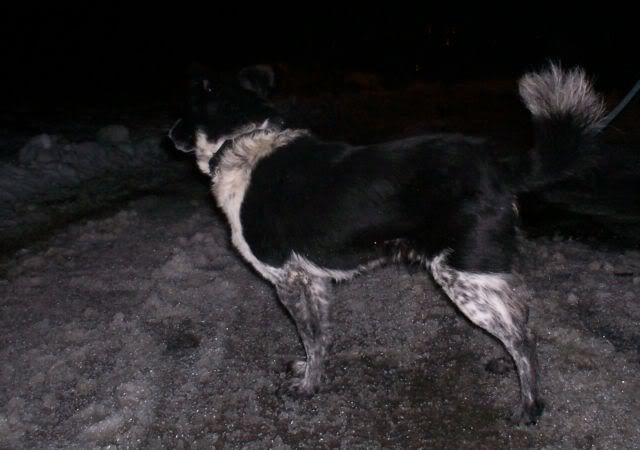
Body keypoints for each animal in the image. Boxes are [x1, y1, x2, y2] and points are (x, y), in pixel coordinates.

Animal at [168, 63, 606, 425]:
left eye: (185, 108)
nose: (168, 135)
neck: (241, 141)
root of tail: (498, 166)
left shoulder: (286, 278)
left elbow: (309, 335)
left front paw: (308, 388)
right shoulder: (314, 280)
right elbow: (319, 338)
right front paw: (312, 373)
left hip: (461, 276)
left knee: (522, 338)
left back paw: (530, 406)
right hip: (480, 271)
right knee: (518, 315)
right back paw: (505, 364)